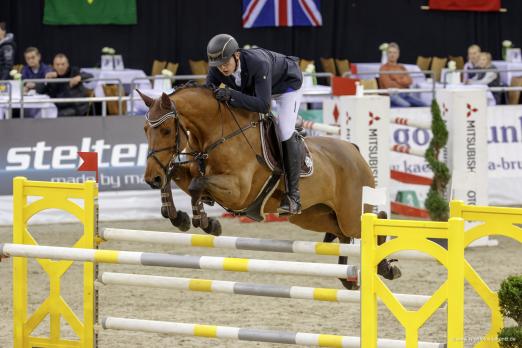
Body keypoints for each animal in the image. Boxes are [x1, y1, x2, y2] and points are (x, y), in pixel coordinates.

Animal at [138, 85, 398, 290]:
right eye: (145, 129)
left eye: (166, 130)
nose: (151, 178)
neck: (217, 135)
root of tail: (354, 150)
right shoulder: (190, 171)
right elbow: (176, 175)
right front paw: (178, 216)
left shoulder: (239, 191)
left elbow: (196, 185)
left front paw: (207, 222)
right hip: (312, 216)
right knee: (343, 233)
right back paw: (351, 278)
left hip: (350, 213)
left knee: (375, 220)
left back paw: (386, 268)